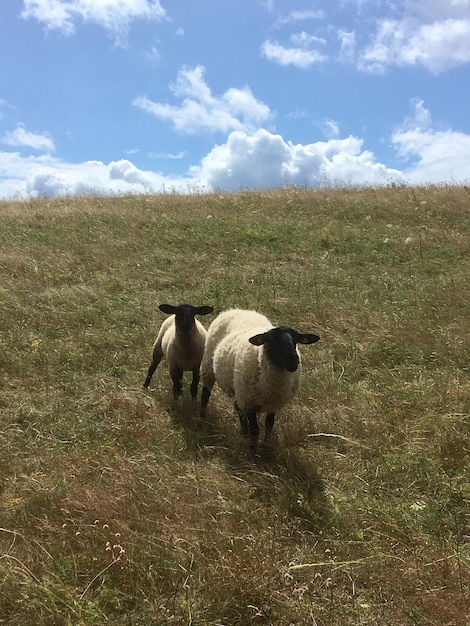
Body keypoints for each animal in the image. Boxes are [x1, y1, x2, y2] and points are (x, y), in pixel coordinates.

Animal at [199, 308, 320, 448]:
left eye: (296, 340)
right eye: (272, 340)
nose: (293, 360)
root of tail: (238, 310)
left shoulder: (273, 403)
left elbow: (269, 425)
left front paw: (266, 446)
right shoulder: (250, 402)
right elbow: (255, 430)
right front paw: (253, 451)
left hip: (239, 387)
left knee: (238, 407)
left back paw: (243, 433)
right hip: (209, 365)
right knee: (205, 395)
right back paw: (201, 420)